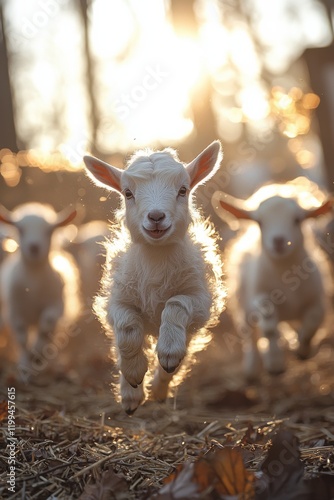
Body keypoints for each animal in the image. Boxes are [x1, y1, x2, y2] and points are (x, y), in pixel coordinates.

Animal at [0, 201, 80, 376]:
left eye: (48, 231)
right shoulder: (15, 312)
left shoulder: (56, 305)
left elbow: (47, 324)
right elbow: (22, 338)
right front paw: (24, 366)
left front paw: (36, 352)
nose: (34, 247)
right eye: (20, 230)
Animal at [211, 186, 332, 380]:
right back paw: (252, 369)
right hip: (243, 307)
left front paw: (303, 351)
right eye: (260, 222)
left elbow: (313, 322)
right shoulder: (260, 297)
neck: (285, 274)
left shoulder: (317, 299)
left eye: (297, 220)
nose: (279, 241)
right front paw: (274, 363)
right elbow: (269, 328)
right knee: (250, 336)